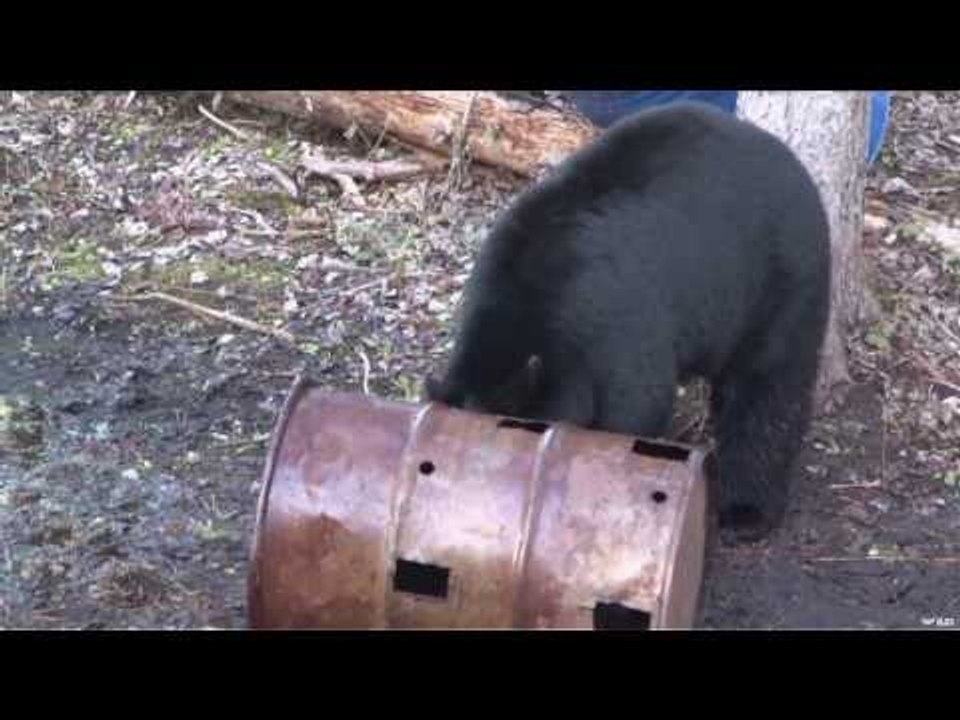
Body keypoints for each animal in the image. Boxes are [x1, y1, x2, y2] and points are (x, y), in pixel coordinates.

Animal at [425, 102, 831, 542]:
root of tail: (795, 166)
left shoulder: (611, 322)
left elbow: (634, 402)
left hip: (781, 278)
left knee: (768, 385)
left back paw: (746, 511)